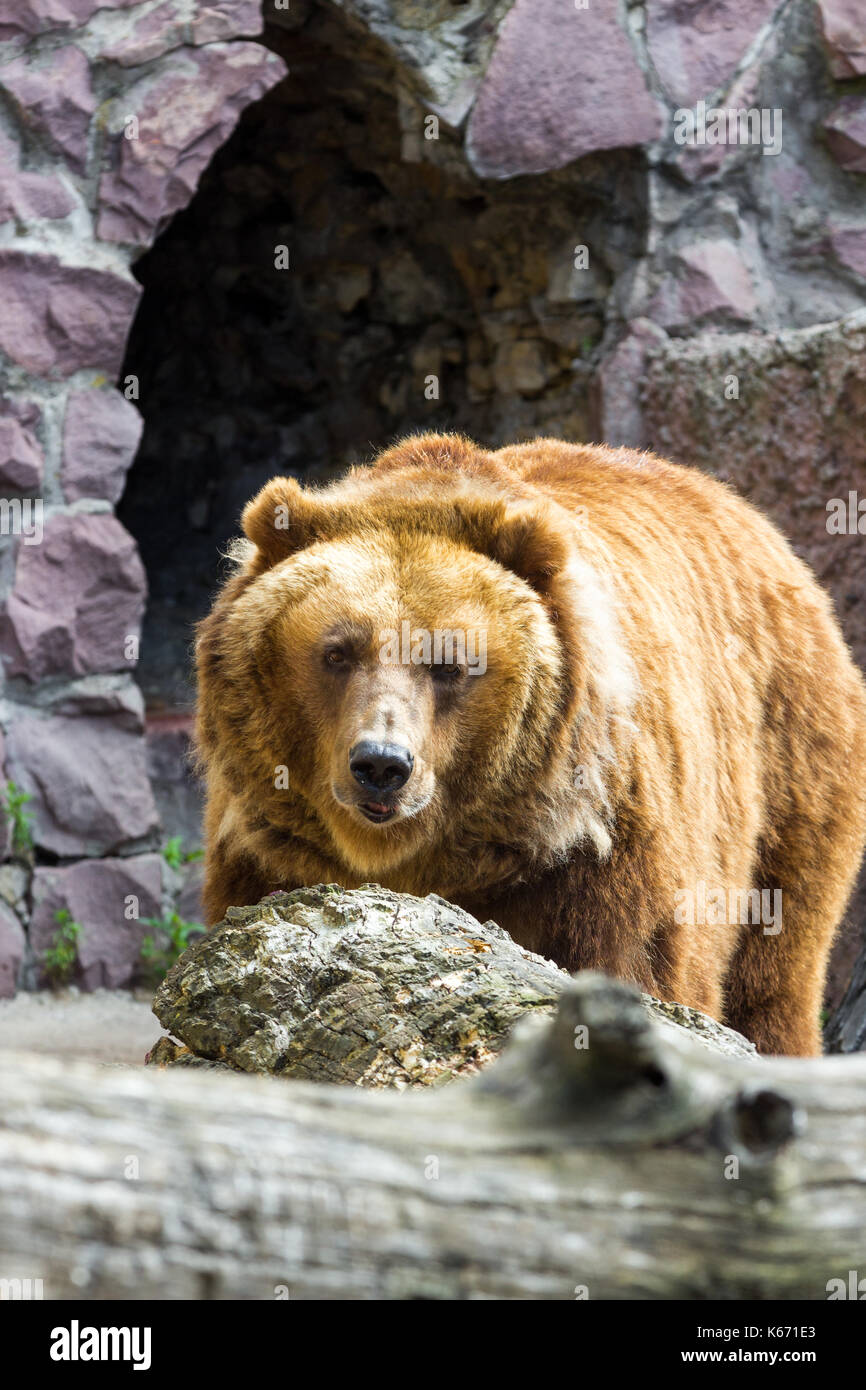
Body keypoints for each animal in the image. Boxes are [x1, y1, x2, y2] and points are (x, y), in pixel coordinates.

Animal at [194, 433, 866, 1050]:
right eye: (337, 651)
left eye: (450, 663)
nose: (381, 765)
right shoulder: (270, 851)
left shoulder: (601, 848)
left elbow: (641, 962)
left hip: (790, 763)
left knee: (776, 963)